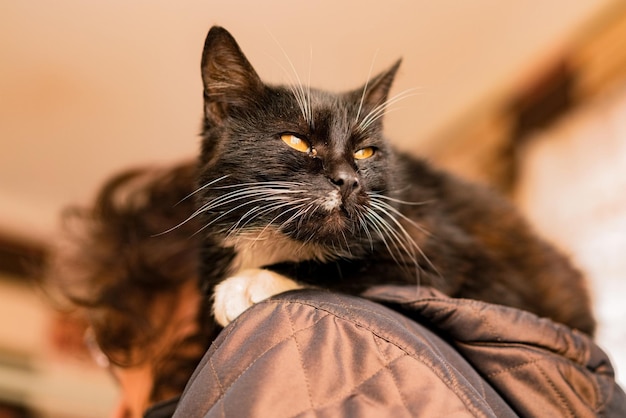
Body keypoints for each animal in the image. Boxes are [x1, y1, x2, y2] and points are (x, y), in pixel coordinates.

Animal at [195, 27, 596, 336]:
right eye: (296, 140)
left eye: (365, 152)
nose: (347, 181)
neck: (278, 242)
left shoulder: (457, 265)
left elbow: (349, 268)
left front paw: (248, 283)